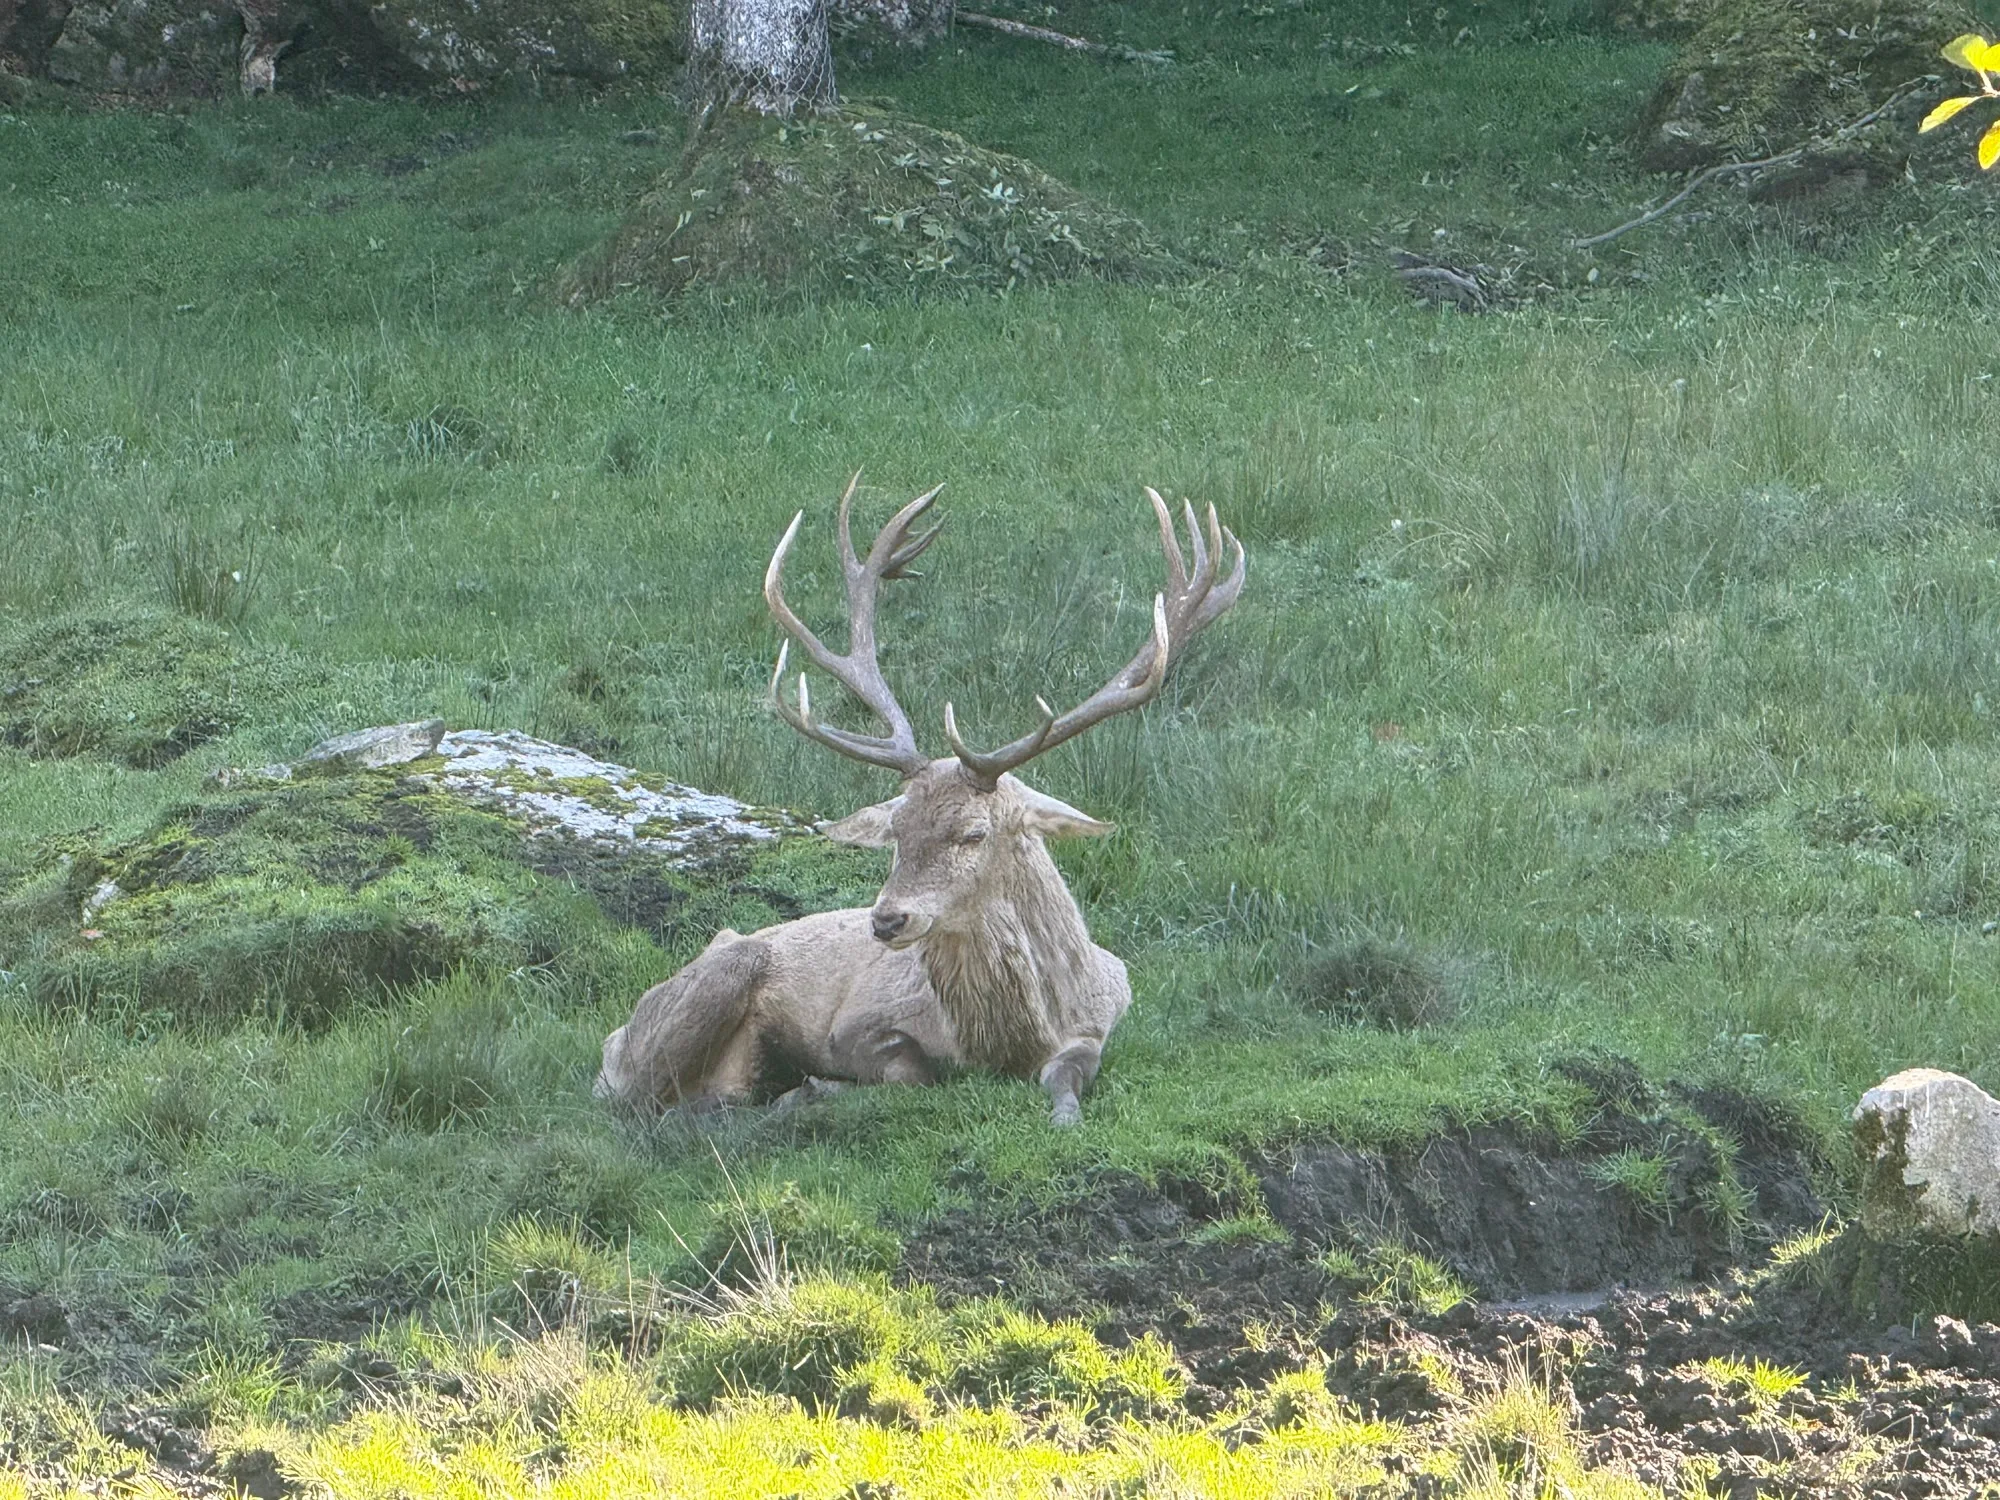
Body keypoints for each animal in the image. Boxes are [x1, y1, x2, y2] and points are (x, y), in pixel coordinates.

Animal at [596, 475, 1244, 1125]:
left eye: (974, 832)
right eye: (897, 830)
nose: (887, 919)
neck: (1006, 1045)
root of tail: (614, 1038)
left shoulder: (1104, 1023)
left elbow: (1068, 1074)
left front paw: (1065, 1114)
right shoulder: (857, 1023)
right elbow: (913, 1072)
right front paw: (812, 1088)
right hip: (716, 976)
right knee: (634, 1100)